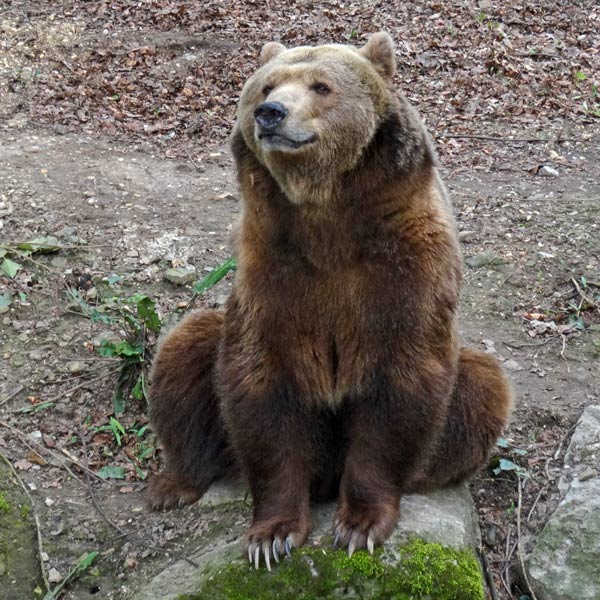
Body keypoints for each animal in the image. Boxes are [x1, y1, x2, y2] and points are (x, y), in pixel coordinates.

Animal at [149, 31, 510, 568]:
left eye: (321, 86)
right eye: (265, 87)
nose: (271, 113)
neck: (326, 213)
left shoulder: (402, 263)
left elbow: (399, 379)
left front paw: (361, 523)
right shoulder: (273, 265)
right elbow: (262, 379)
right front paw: (271, 534)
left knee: (482, 387)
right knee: (185, 349)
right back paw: (176, 482)